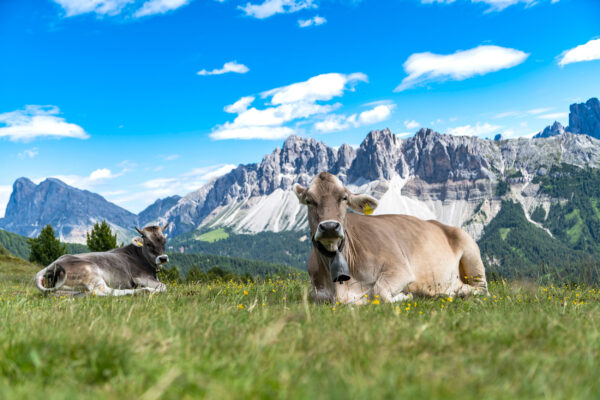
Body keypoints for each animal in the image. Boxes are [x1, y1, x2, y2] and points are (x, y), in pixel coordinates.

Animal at [35, 225, 169, 296]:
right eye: (148, 243)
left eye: (164, 241)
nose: (163, 258)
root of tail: (50, 267)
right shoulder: (140, 277)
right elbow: (164, 286)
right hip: (91, 271)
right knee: (103, 291)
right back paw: (144, 290)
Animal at [294, 172, 488, 304]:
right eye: (309, 200)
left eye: (344, 198)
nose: (329, 227)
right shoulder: (316, 291)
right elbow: (314, 296)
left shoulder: (400, 268)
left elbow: (379, 292)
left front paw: (405, 296)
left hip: (471, 253)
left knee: (482, 289)